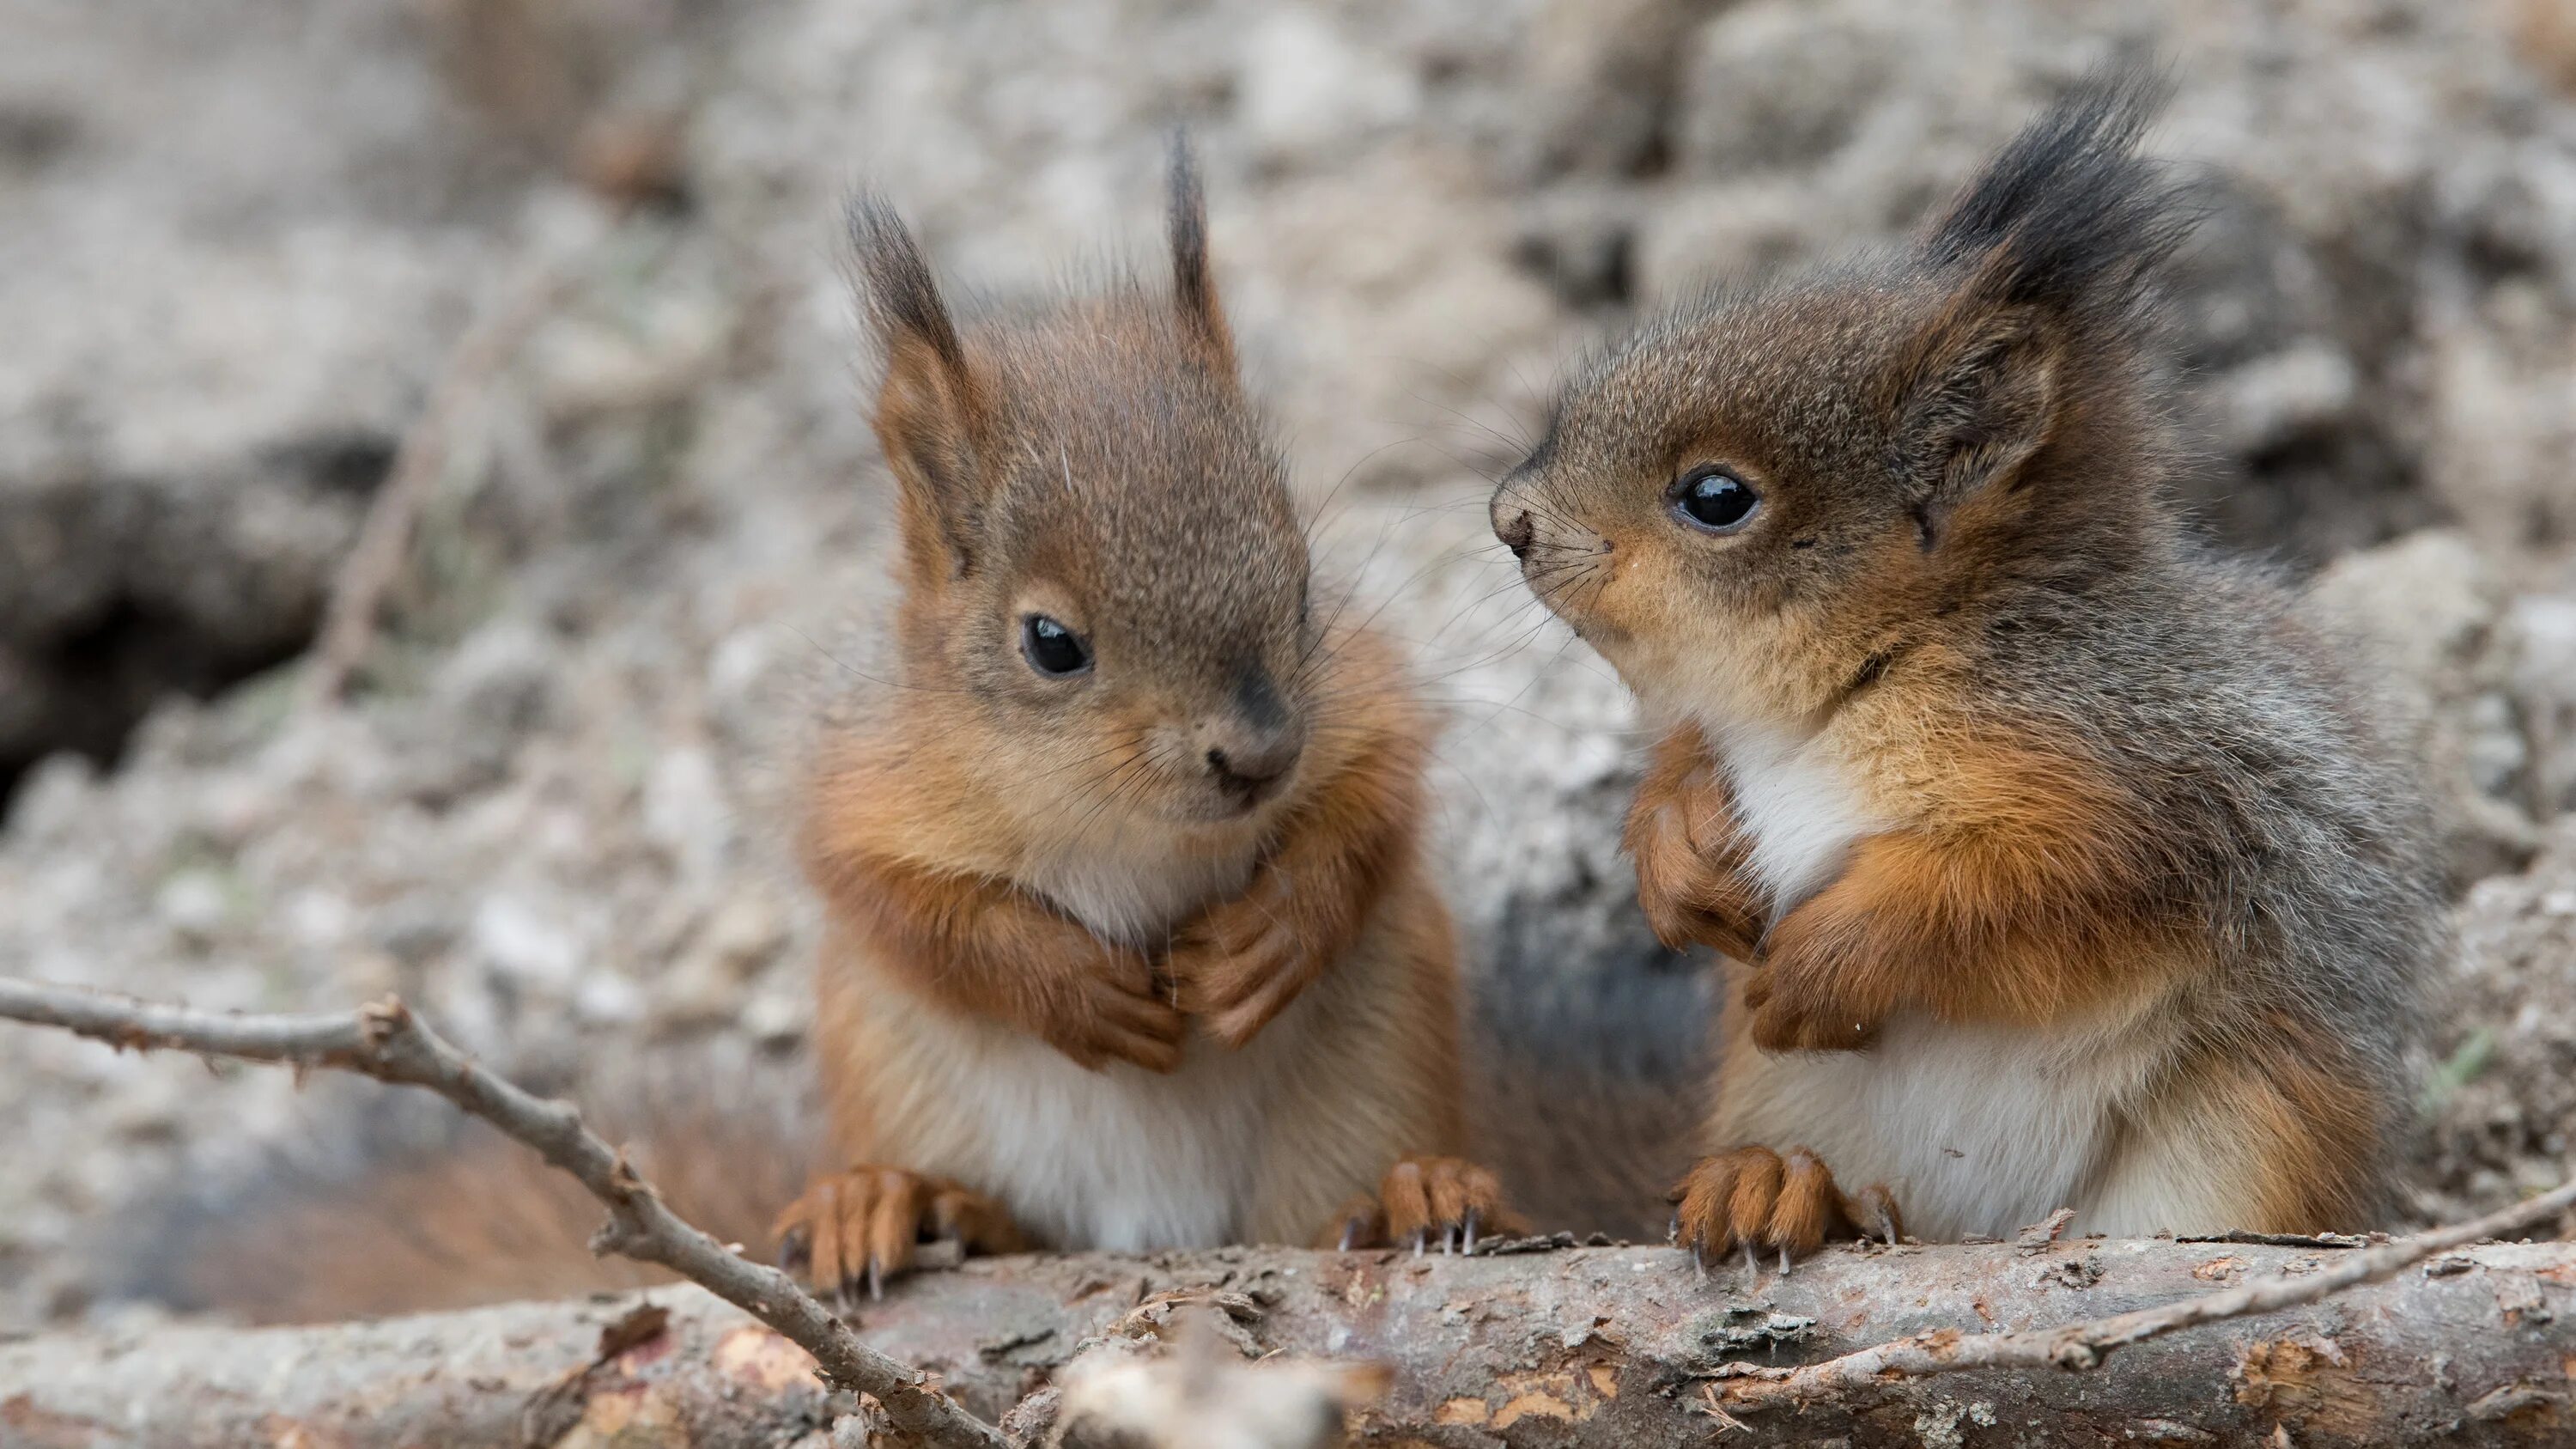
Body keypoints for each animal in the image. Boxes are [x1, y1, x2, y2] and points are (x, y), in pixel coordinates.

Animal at [762, 147, 1504, 1288]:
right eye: (1049, 642)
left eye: (1303, 586)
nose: (1260, 756)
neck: (1120, 822)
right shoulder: (860, 775)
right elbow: (903, 904)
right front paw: (1070, 986)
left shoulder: (1364, 701)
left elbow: (1372, 805)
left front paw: (1273, 934)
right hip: (902, 1079)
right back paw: (898, 1201)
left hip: (1372, 1078)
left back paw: (1410, 1193)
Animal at [1494, 64, 2432, 1263]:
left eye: (1715, 497)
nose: (1510, 520)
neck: (1860, 685)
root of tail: (1982, 1229)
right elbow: (1684, 767)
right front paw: (1677, 860)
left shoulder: (2158, 789)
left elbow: (2014, 895)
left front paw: (1828, 957)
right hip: (1794, 1098)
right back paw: (1778, 1186)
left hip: (2244, 1131)